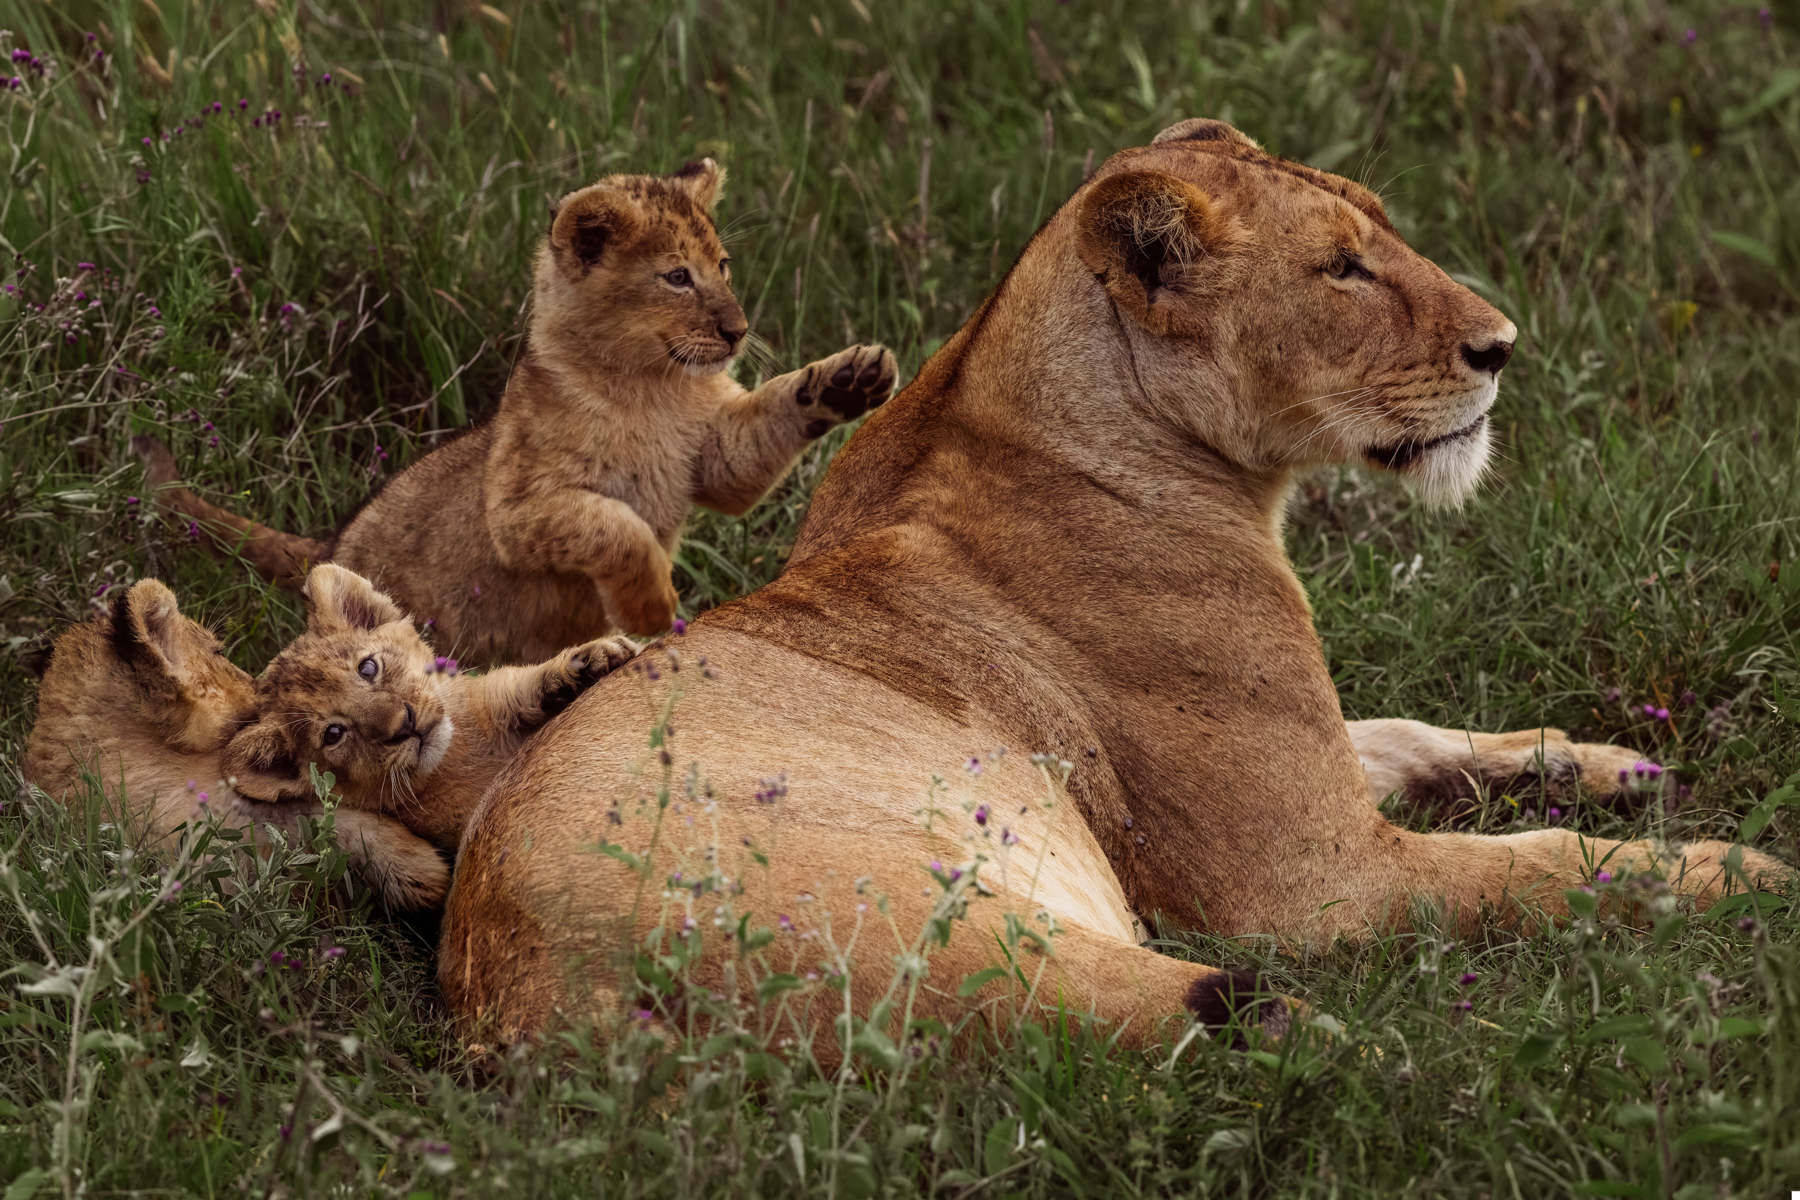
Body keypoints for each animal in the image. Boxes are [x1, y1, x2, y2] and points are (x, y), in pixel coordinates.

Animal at [134, 159, 896, 666]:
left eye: (725, 265)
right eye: (678, 276)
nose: (738, 331)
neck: (652, 386)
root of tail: (327, 544)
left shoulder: (714, 455)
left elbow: (765, 425)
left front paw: (855, 377)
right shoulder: (521, 510)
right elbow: (616, 525)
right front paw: (651, 608)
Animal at [220, 564, 636, 852]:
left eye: (368, 668)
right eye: (334, 734)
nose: (404, 725)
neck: (455, 760)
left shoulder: (495, 699)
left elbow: (524, 685)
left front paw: (594, 659)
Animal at [438, 119, 1789, 1050]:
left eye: (1378, 231)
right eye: (1342, 270)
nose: (1503, 348)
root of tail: (538, 1009)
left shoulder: (1312, 767)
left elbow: (1411, 733)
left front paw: (1612, 764)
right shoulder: (1307, 881)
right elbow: (1541, 867)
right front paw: (1737, 875)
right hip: (966, 919)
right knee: (1213, 1022)